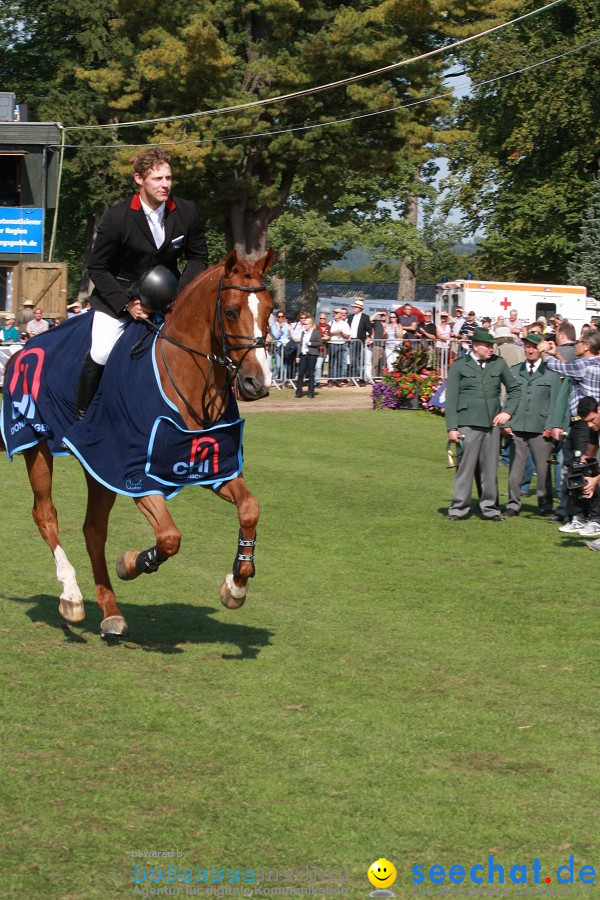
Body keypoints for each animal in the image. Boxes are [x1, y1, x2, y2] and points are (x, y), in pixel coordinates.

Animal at [0, 250, 274, 636]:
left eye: (269, 309)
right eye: (232, 311)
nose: (257, 383)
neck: (185, 377)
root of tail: (23, 347)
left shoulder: (212, 467)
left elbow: (250, 508)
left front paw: (236, 584)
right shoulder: (135, 475)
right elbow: (170, 537)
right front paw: (131, 563)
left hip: (98, 466)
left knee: (93, 529)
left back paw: (111, 611)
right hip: (37, 445)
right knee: (46, 515)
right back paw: (71, 595)